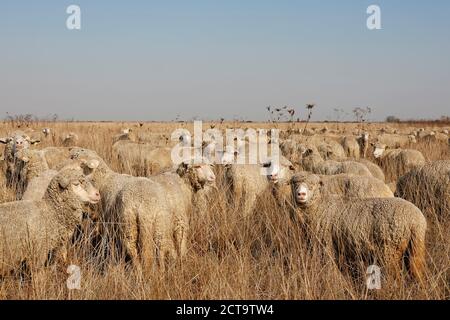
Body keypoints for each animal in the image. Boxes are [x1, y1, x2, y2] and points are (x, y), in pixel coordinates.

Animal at [290, 172, 428, 280]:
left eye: (312, 185)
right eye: (294, 184)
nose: (301, 194)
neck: (318, 205)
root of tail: (416, 221)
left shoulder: (325, 244)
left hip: (390, 249)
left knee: (395, 276)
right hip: (414, 248)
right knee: (417, 271)